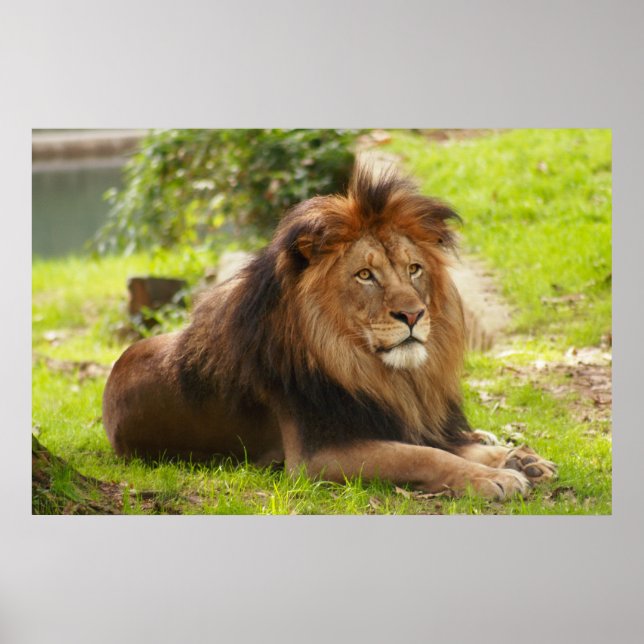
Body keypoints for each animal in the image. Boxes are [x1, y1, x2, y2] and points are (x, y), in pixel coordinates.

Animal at [102, 164, 556, 500]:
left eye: (414, 269)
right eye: (365, 275)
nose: (413, 314)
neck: (372, 370)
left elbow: (447, 444)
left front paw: (519, 459)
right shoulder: (315, 457)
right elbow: (424, 455)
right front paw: (495, 477)